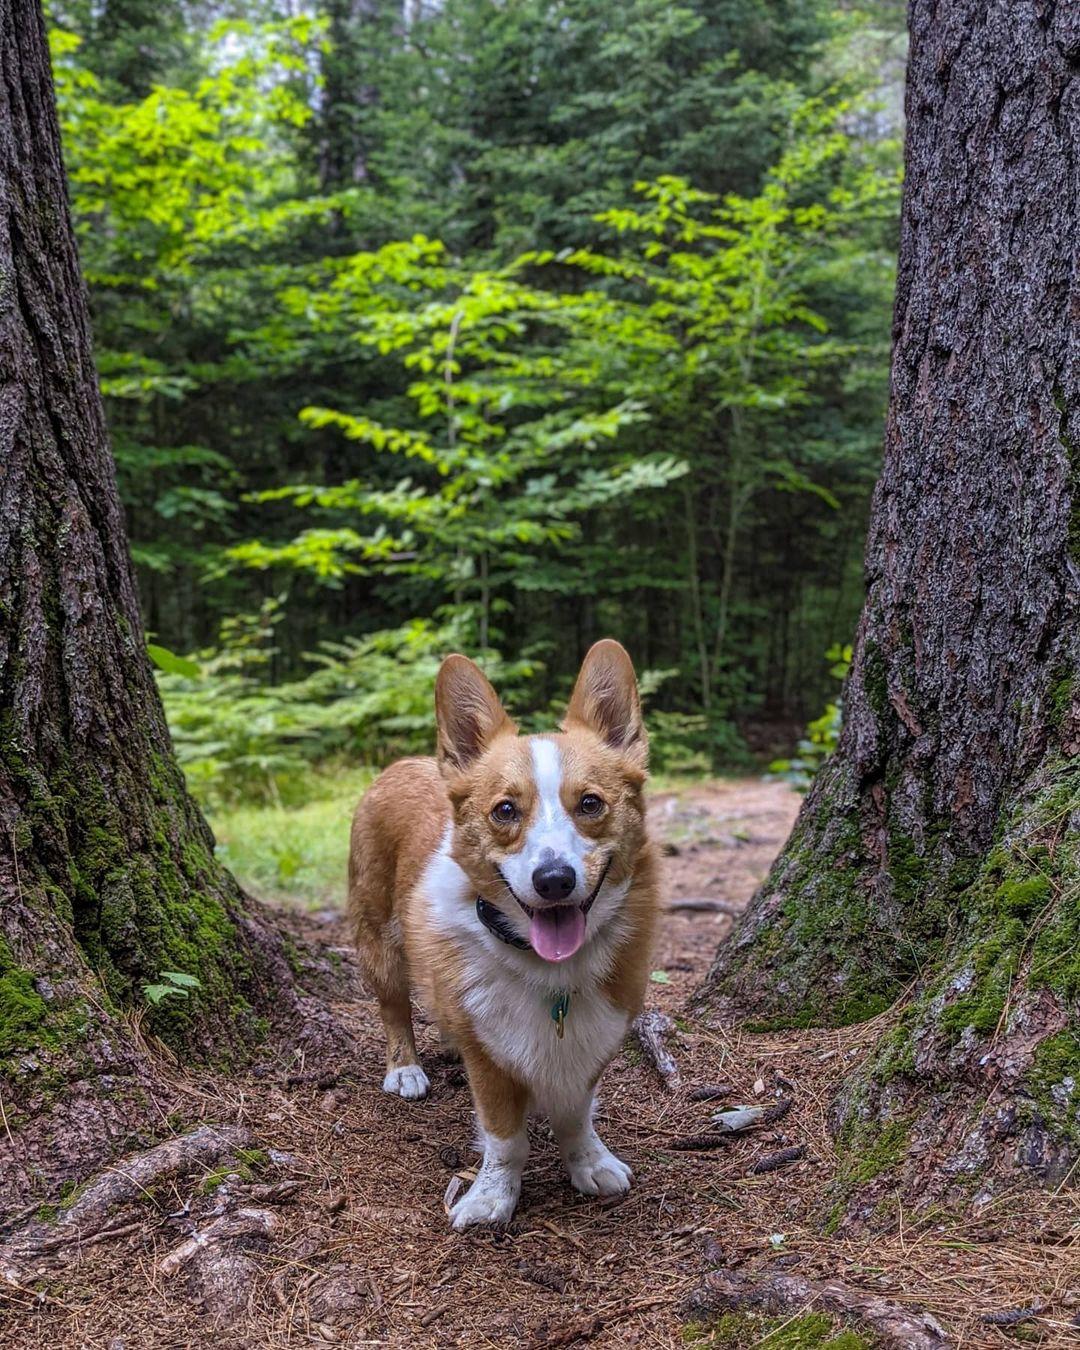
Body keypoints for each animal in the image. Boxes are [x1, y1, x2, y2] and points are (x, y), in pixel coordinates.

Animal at [351, 637, 661, 1231]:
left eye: (590, 803)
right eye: (505, 810)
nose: (554, 879)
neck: (549, 971)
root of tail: (403, 762)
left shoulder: (591, 1046)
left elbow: (577, 1117)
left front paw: (589, 1164)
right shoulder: (489, 1065)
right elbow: (504, 1139)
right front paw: (493, 1197)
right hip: (378, 940)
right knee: (393, 1007)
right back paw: (405, 1069)